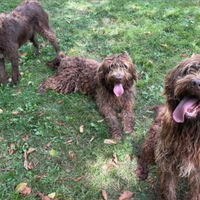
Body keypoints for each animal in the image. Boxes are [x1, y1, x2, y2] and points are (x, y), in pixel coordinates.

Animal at [135, 54, 200, 199]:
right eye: (189, 70)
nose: (196, 83)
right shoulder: (167, 163)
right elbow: (169, 190)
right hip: (153, 142)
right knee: (142, 155)